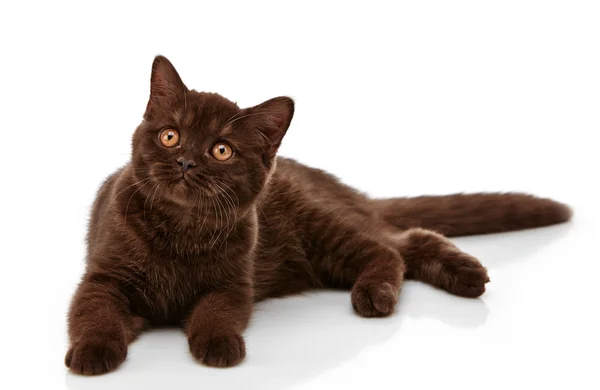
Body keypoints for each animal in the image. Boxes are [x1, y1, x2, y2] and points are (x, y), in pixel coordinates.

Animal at [65, 54, 572, 374]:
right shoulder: (103, 277)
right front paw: (92, 351)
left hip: (321, 230)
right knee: (404, 242)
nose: (186, 161)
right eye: (170, 136)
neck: (180, 230)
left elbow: (216, 312)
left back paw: (403, 287)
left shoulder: (232, 284)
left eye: (221, 150)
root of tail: (329, 181)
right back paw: (462, 275)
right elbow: (94, 313)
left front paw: (219, 344)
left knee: (394, 248)